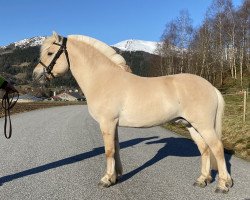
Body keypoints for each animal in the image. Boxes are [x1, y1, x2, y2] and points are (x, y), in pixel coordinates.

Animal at [32, 32, 232, 193]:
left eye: (50, 53)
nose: (35, 75)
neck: (103, 79)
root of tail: (211, 87)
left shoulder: (107, 122)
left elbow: (109, 151)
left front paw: (106, 180)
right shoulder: (113, 124)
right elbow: (116, 148)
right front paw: (115, 176)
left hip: (204, 125)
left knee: (217, 148)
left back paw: (223, 185)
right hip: (191, 125)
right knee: (204, 149)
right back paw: (202, 180)